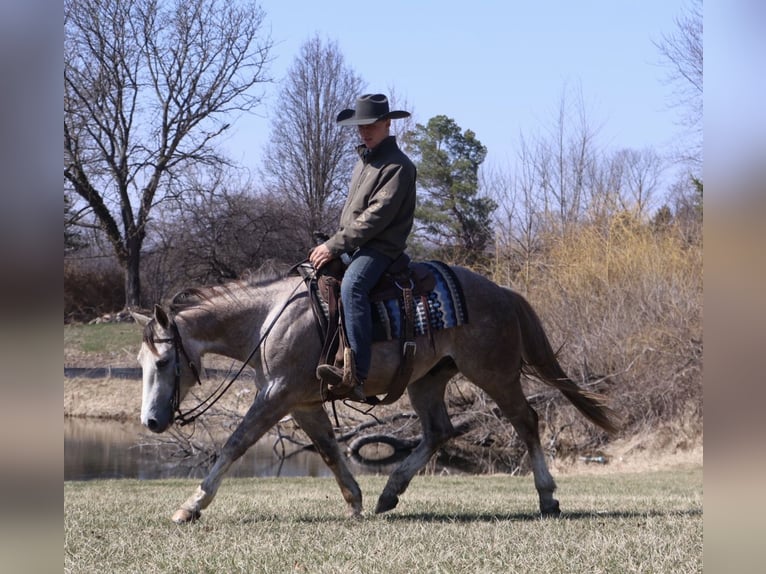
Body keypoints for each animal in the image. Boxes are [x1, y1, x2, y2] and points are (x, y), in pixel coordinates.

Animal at [132, 262, 618, 523]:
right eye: (141, 363)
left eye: (163, 362)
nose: (151, 422)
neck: (269, 318)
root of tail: (502, 291)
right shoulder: (302, 402)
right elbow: (329, 450)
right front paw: (356, 501)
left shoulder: (276, 395)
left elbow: (235, 444)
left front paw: (191, 506)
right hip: (428, 380)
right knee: (439, 431)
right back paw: (390, 492)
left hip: (494, 374)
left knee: (526, 422)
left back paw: (548, 497)